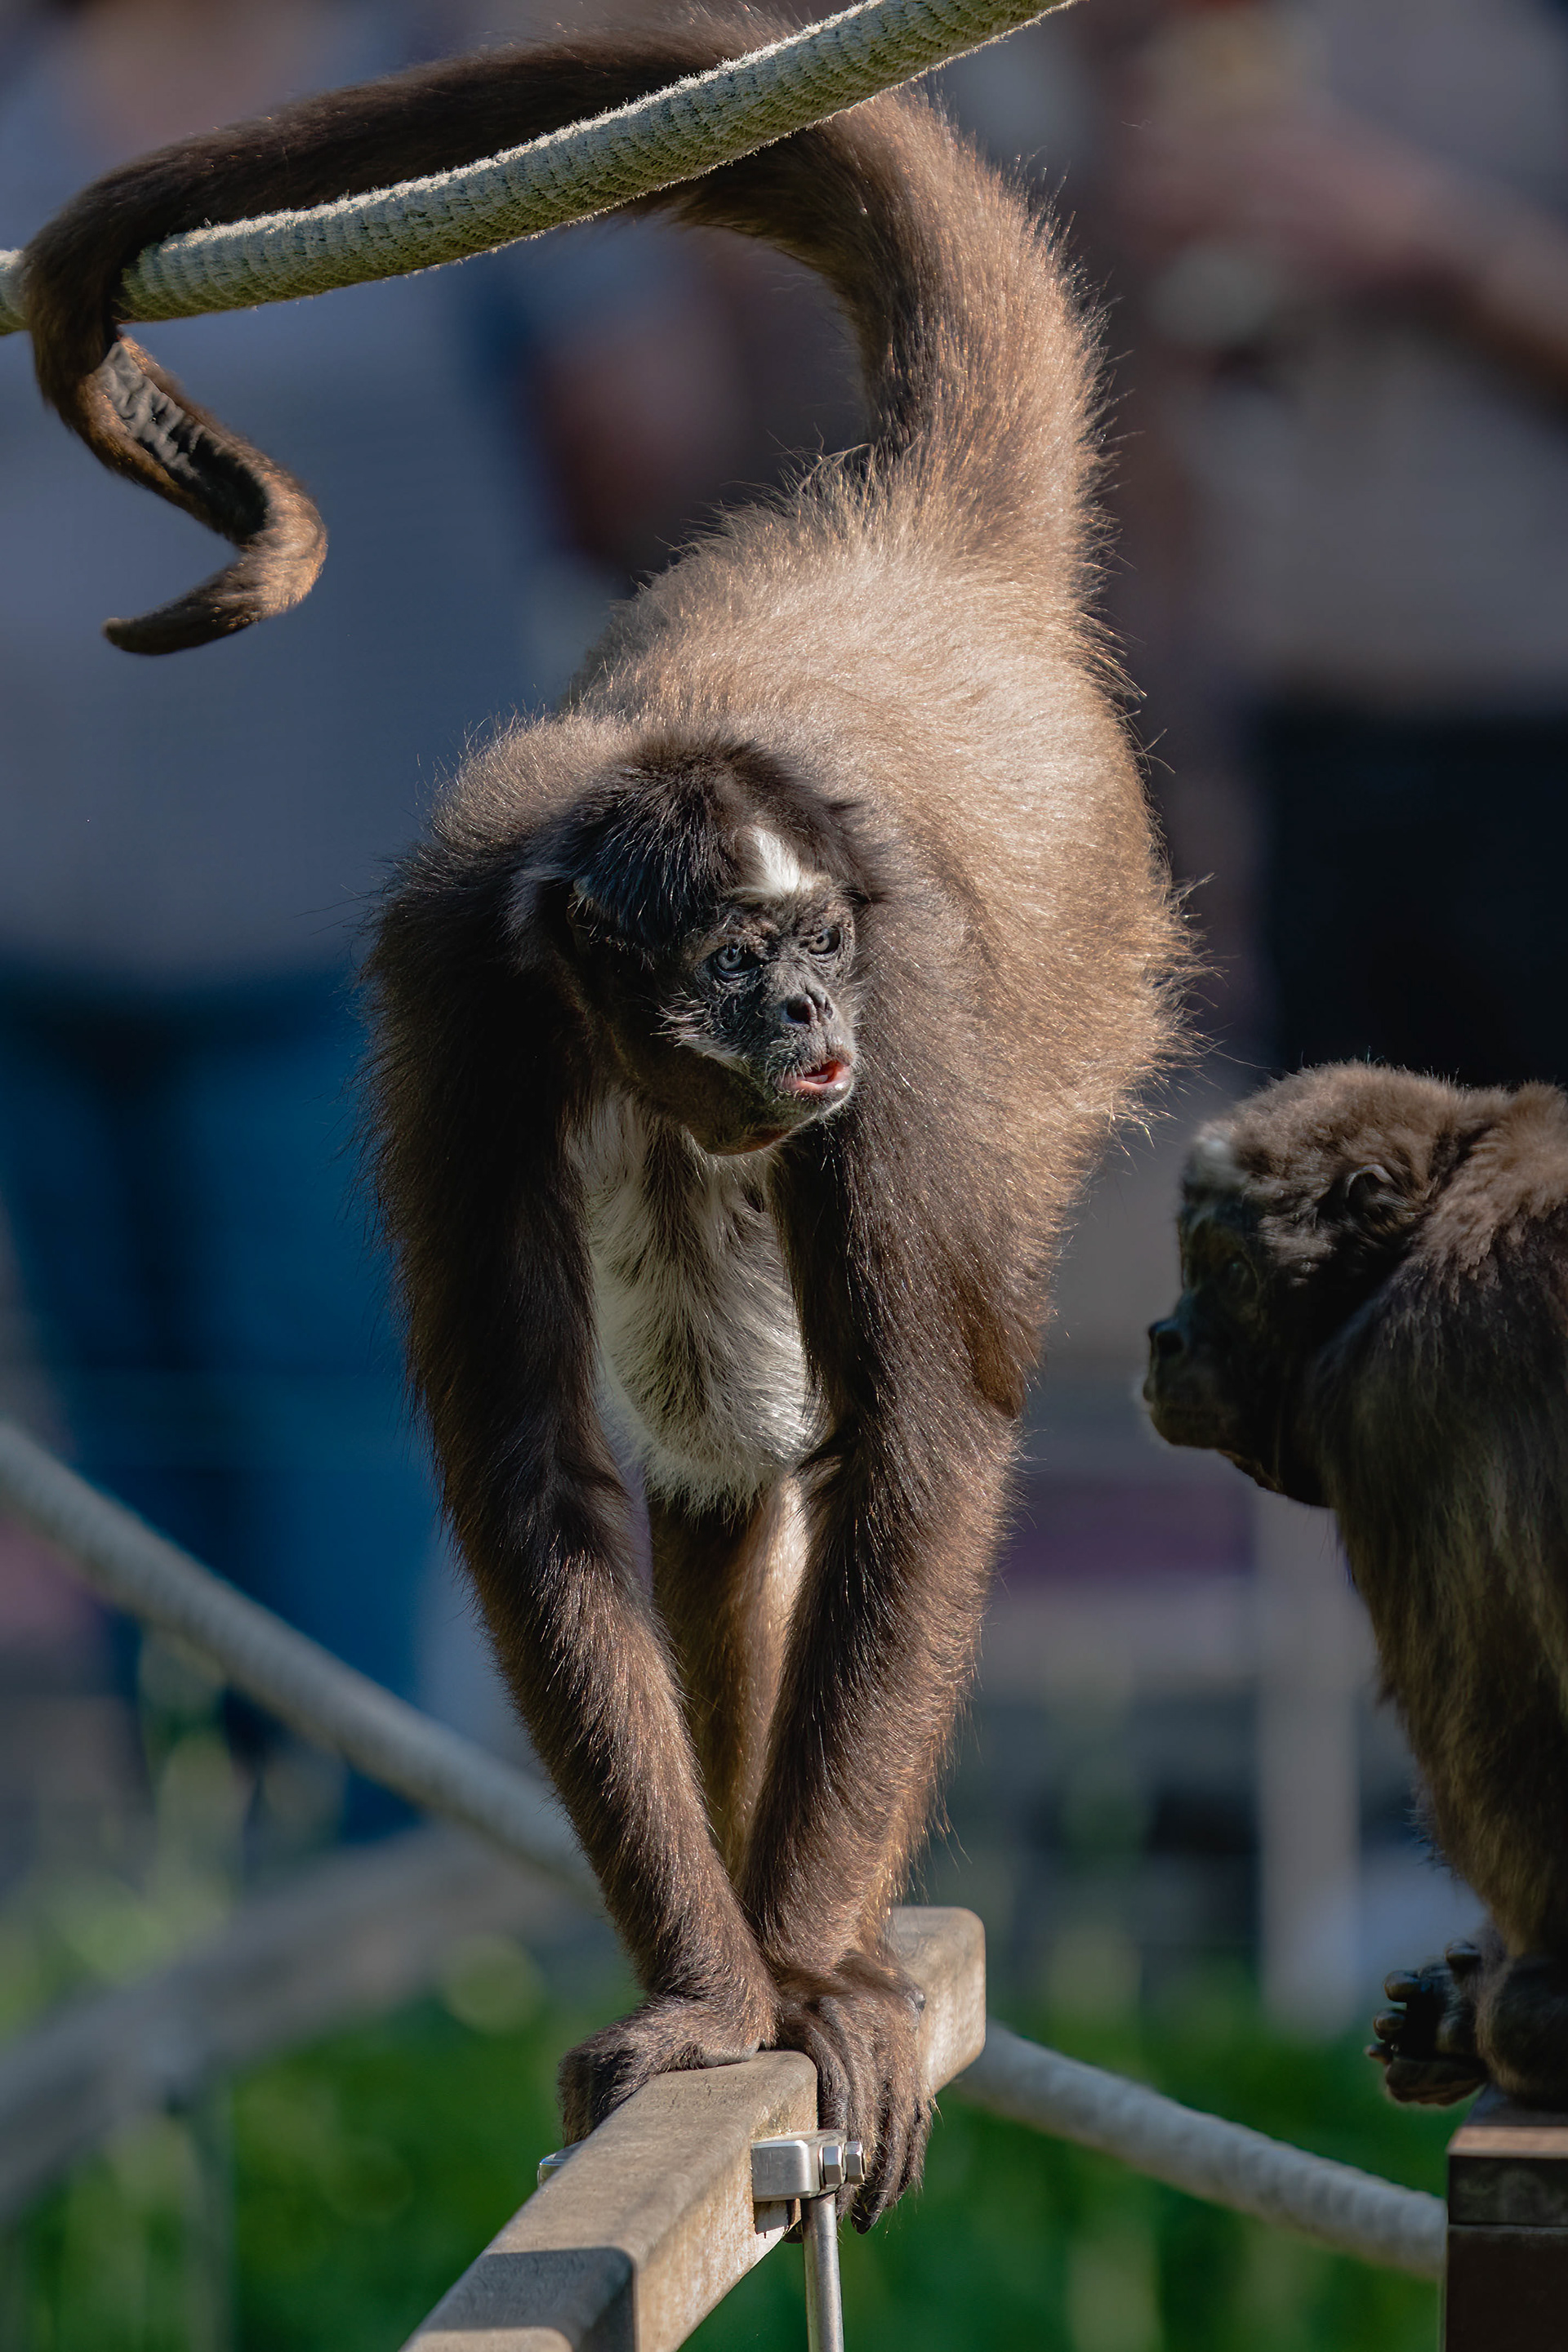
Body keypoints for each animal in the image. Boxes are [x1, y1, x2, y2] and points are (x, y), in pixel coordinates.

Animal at [18, 16, 1183, 2216]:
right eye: (733, 958)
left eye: (814, 942)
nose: (804, 1013)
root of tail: (904, 556)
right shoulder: (458, 982)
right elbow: (530, 1462)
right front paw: (717, 1994)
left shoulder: (917, 1010)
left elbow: (922, 1448)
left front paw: (793, 1972)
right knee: (728, 1456)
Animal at [1144, 1061, 1568, 2110]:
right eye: (1188, 1259)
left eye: (1230, 1271)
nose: (1166, 1335)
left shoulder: (1394, 1395)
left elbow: (1488, 1717)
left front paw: (1506, 2003)